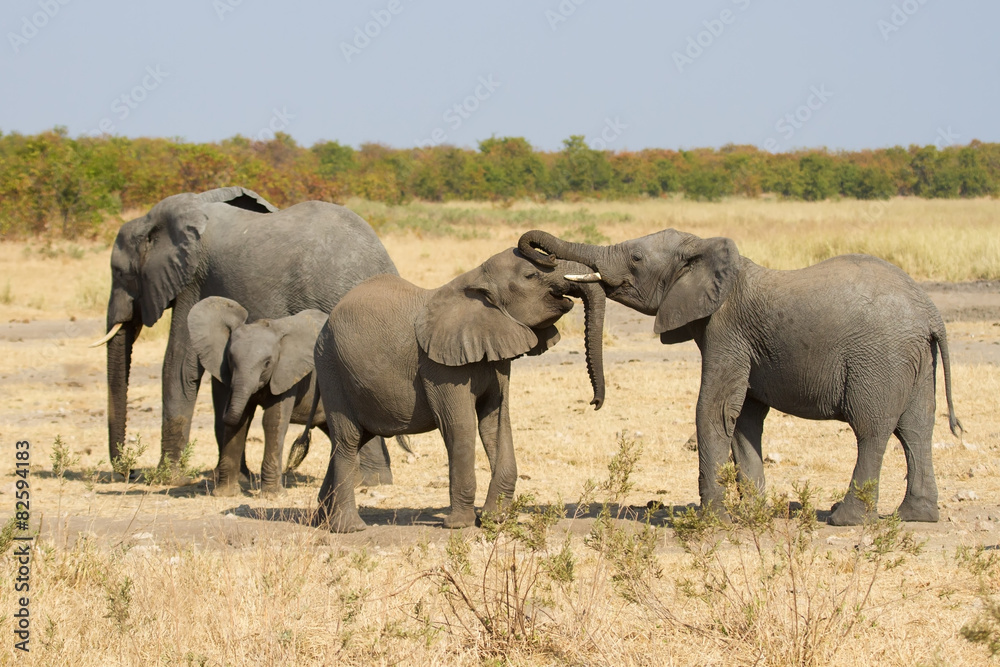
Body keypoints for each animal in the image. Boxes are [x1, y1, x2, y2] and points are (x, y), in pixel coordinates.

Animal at [91, 187, 398, 483]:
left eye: (120, 273)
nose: (130, 471)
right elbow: (219, 379)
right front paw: (236, 478)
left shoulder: (193, 283)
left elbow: (179, 367)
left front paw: (168, 478)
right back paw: (373, 480)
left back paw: (366, 480)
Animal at [312, 248, 606, 532]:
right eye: (531, 276)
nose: (595, 402)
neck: (476, 280)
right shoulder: (440, 365)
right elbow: (460, 425)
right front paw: (459, 524)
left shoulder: (496, 351)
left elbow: (495, 422)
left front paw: (493, 518)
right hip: (331, 366)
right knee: (347, 441)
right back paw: (348, 528)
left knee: (349, 441)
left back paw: (320, 521)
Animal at [519, 229, 962, 526]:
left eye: (637, 259)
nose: (595, 402)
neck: (703, 251)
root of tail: (931, 314)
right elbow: (745, 419)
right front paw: (752, 511)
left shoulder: (727, 330)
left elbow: (713, 410)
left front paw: (713, 520)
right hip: (914, 360)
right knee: (916, 428)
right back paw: (915, 516)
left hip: (879, 358)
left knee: (872, 429)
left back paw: (845, 519)